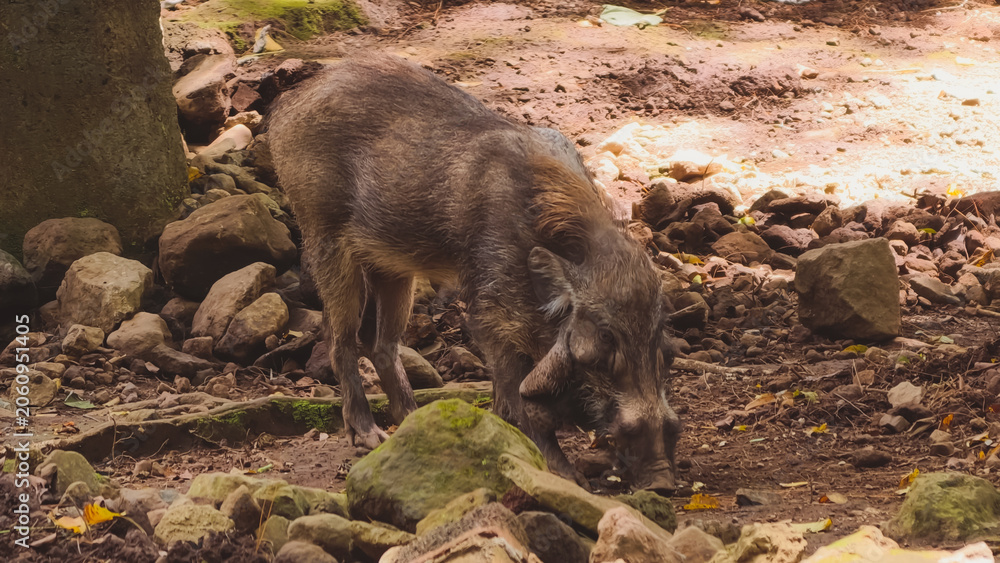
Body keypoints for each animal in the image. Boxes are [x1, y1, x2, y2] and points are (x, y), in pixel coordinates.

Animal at [266, 54, 680, 493]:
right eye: (604, 337)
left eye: (662, 341)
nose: (662, 481)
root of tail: (289, 104)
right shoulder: (490, 312)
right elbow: (513, 392)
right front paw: (564, 476)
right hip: (324, 237)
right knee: (339, 338)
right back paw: (368, 436)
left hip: (391, 266)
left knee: (383, 346)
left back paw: (411, 421)